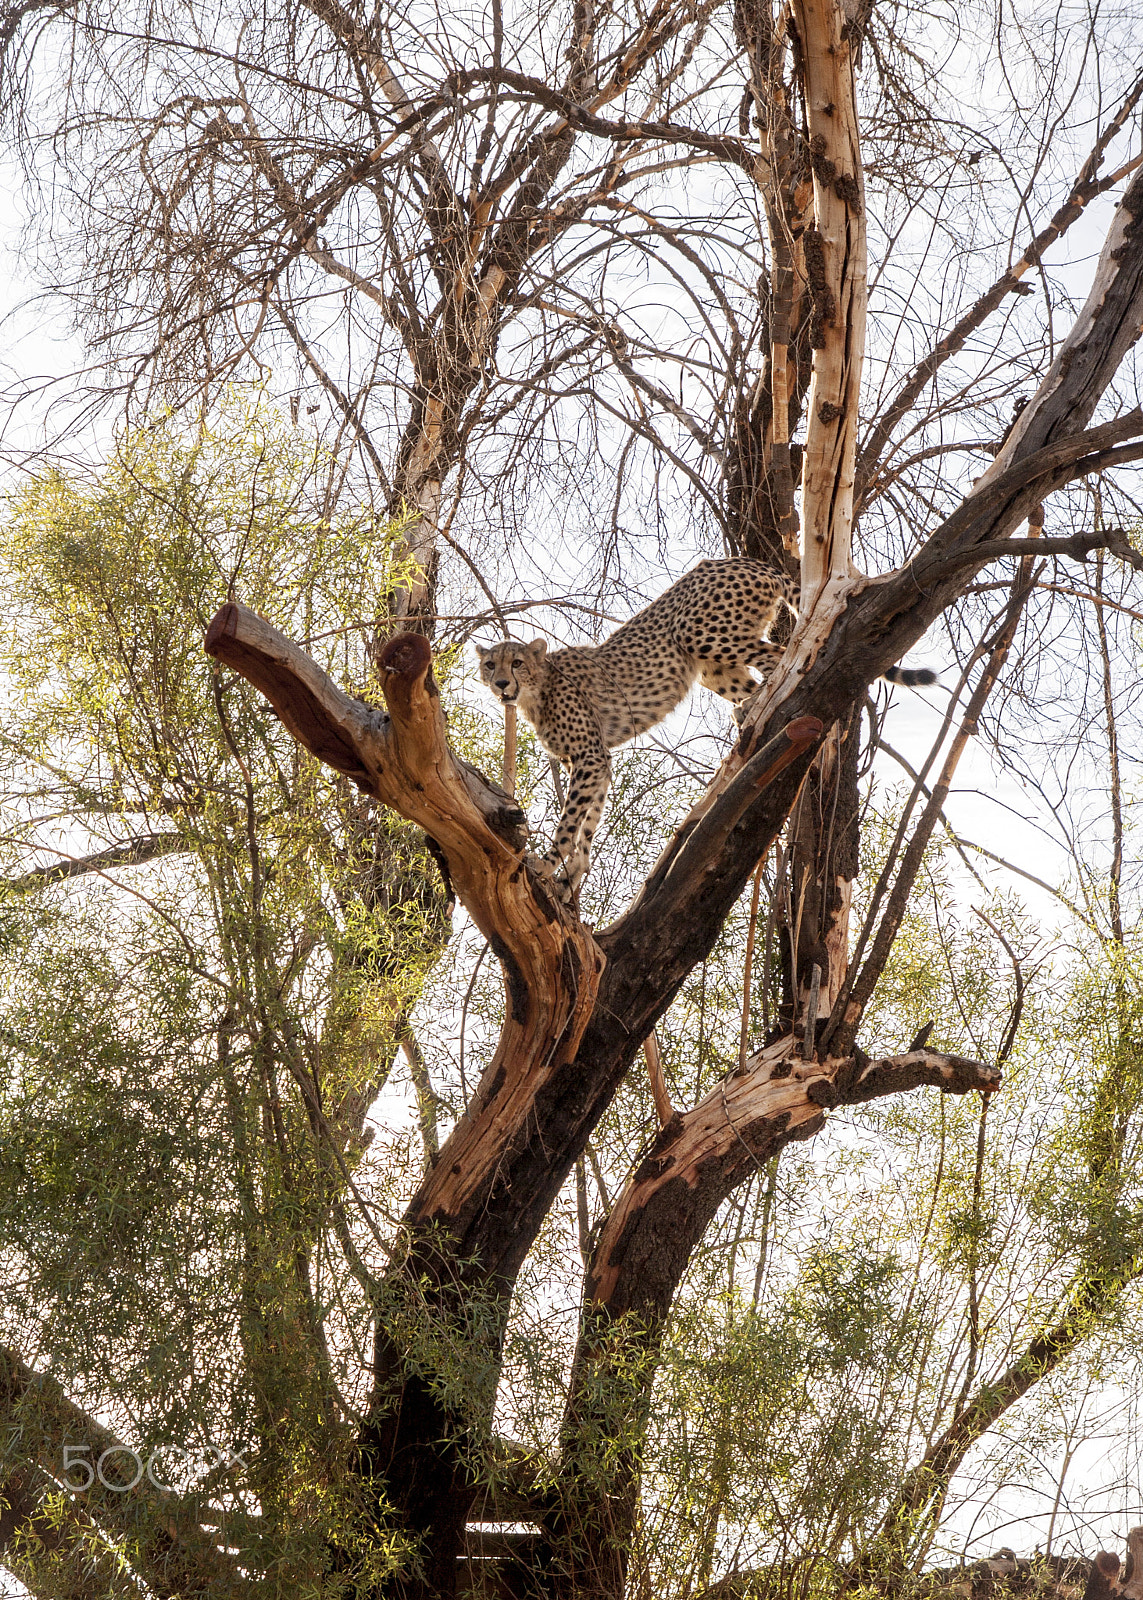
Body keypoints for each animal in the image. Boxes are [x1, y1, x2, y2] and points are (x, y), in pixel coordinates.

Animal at [476, 556, 935, 889]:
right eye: (490, 664)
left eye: (516, 663)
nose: (501, 684)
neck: (538, 689)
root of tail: (740, 559)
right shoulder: (596, 760)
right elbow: (590, 819)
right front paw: (573, 872)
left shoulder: (589, 755)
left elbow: (571, 818)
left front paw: (546, 862)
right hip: (712, 667)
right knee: (765, 669)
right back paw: (749, 710)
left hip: (699, 633)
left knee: (786, 654)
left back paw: (757, 707)